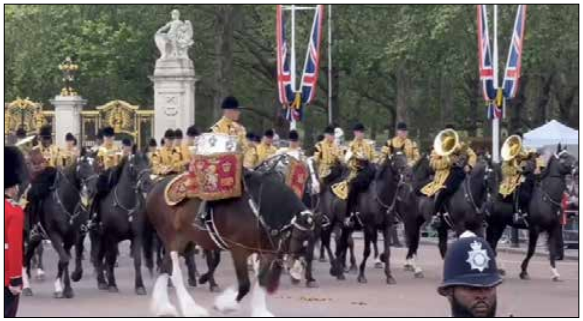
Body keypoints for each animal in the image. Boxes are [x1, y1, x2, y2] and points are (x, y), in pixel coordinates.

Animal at [22, 152, 97, 298]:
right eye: (84, 166)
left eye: (97, 166)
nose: (93, 190)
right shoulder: (54, 235)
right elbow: (64, 260)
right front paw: (58, 287)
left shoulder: (71, 238)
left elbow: (66, 260)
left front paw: (70, 284)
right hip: (30, 237)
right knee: (25, 258)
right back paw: (26, 286)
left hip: (36, 238)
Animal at [144, 169, 314, 316]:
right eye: (298, 237)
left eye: (307, 241)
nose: (295, 271)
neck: (258, 209)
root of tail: (157, 186)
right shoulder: (239, 250)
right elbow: (245, 285)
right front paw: (224, 304)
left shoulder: (266, 252)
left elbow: (261, 281)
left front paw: (260, 311)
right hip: (173, 239)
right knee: (174, 271)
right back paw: (190, 308)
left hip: (186, 240)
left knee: (165, 267)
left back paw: (163, 307)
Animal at [488, 146, 580, 282]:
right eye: (564, 157)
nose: (577, 169)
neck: (547, 198)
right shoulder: (534, 229)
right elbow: (531, 251)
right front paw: (523, 271)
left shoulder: (553, 228)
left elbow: (551, 251)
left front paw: (555, 273)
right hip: (494, 224)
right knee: (490, 242)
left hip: (500, 224)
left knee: (492, 243)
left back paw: (499, 269)